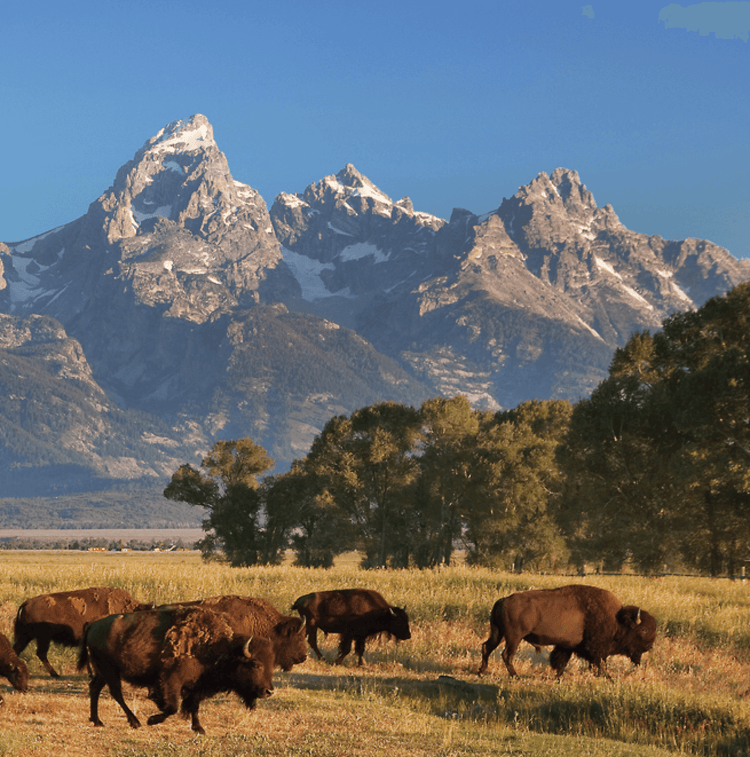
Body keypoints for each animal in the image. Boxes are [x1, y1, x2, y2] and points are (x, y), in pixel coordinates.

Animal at [14, 586, 151, 677]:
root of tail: (26, 602)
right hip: (40, 637)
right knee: (39, 653)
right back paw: (55, 674)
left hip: (30, 636)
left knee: (21, 650)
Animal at [78, 606, 275, 734]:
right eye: (256, 664)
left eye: (271, 664)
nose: (269, 691)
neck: (218, 646)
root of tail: (92, 625)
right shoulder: (172, 680)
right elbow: (172, 706)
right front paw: (152, 719)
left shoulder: (197, 685)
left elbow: (193, 705)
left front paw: (199, 728)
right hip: (109, 670)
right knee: (116, 692)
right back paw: (135, 722)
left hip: (103, 671)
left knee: (95, 688)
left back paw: (97, 721)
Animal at [478, 584, 656, 678]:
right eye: (644, 630)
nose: (650, 646)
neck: (616, 619)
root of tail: (503, 600)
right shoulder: (597, 650)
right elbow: (600, 664)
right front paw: (608, 678)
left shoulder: (567, 646)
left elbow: (561, 661)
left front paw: (558, 677)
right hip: (514, 637)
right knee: (506, 654)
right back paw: (515, 676)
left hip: (499, 633)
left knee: (487, 647)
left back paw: (481, 671)